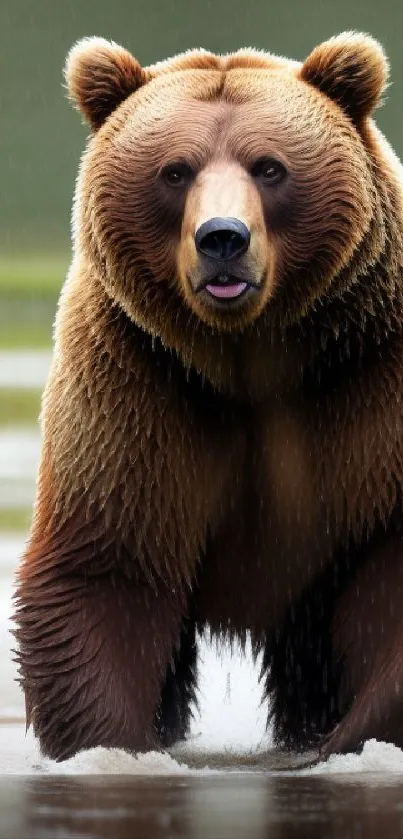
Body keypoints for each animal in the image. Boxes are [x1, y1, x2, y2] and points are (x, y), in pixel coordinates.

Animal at [15, 32, 403, 764]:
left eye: (269, 166)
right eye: (174, 171)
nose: (223, 236)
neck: (250, 355)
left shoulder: (370, 382)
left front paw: (342, 747)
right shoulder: (138, 383)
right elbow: (107, 572)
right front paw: (114, 750)